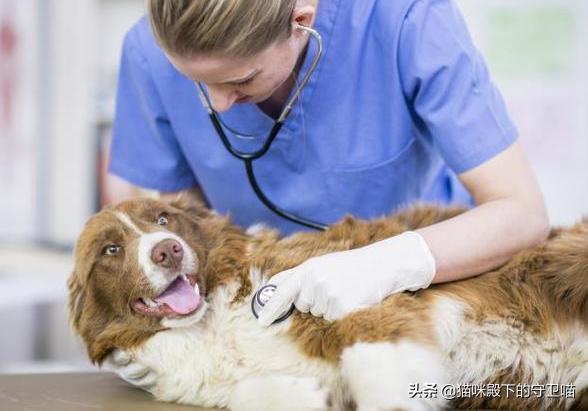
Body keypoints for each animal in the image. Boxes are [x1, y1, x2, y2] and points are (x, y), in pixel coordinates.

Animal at [69, 198, 588, 410]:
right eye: (110, 250)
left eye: (163, 218)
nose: (168, 250)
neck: (209, 323)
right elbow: (244, 394)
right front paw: (308, 396)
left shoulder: (371, 310)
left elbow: (376, 368)